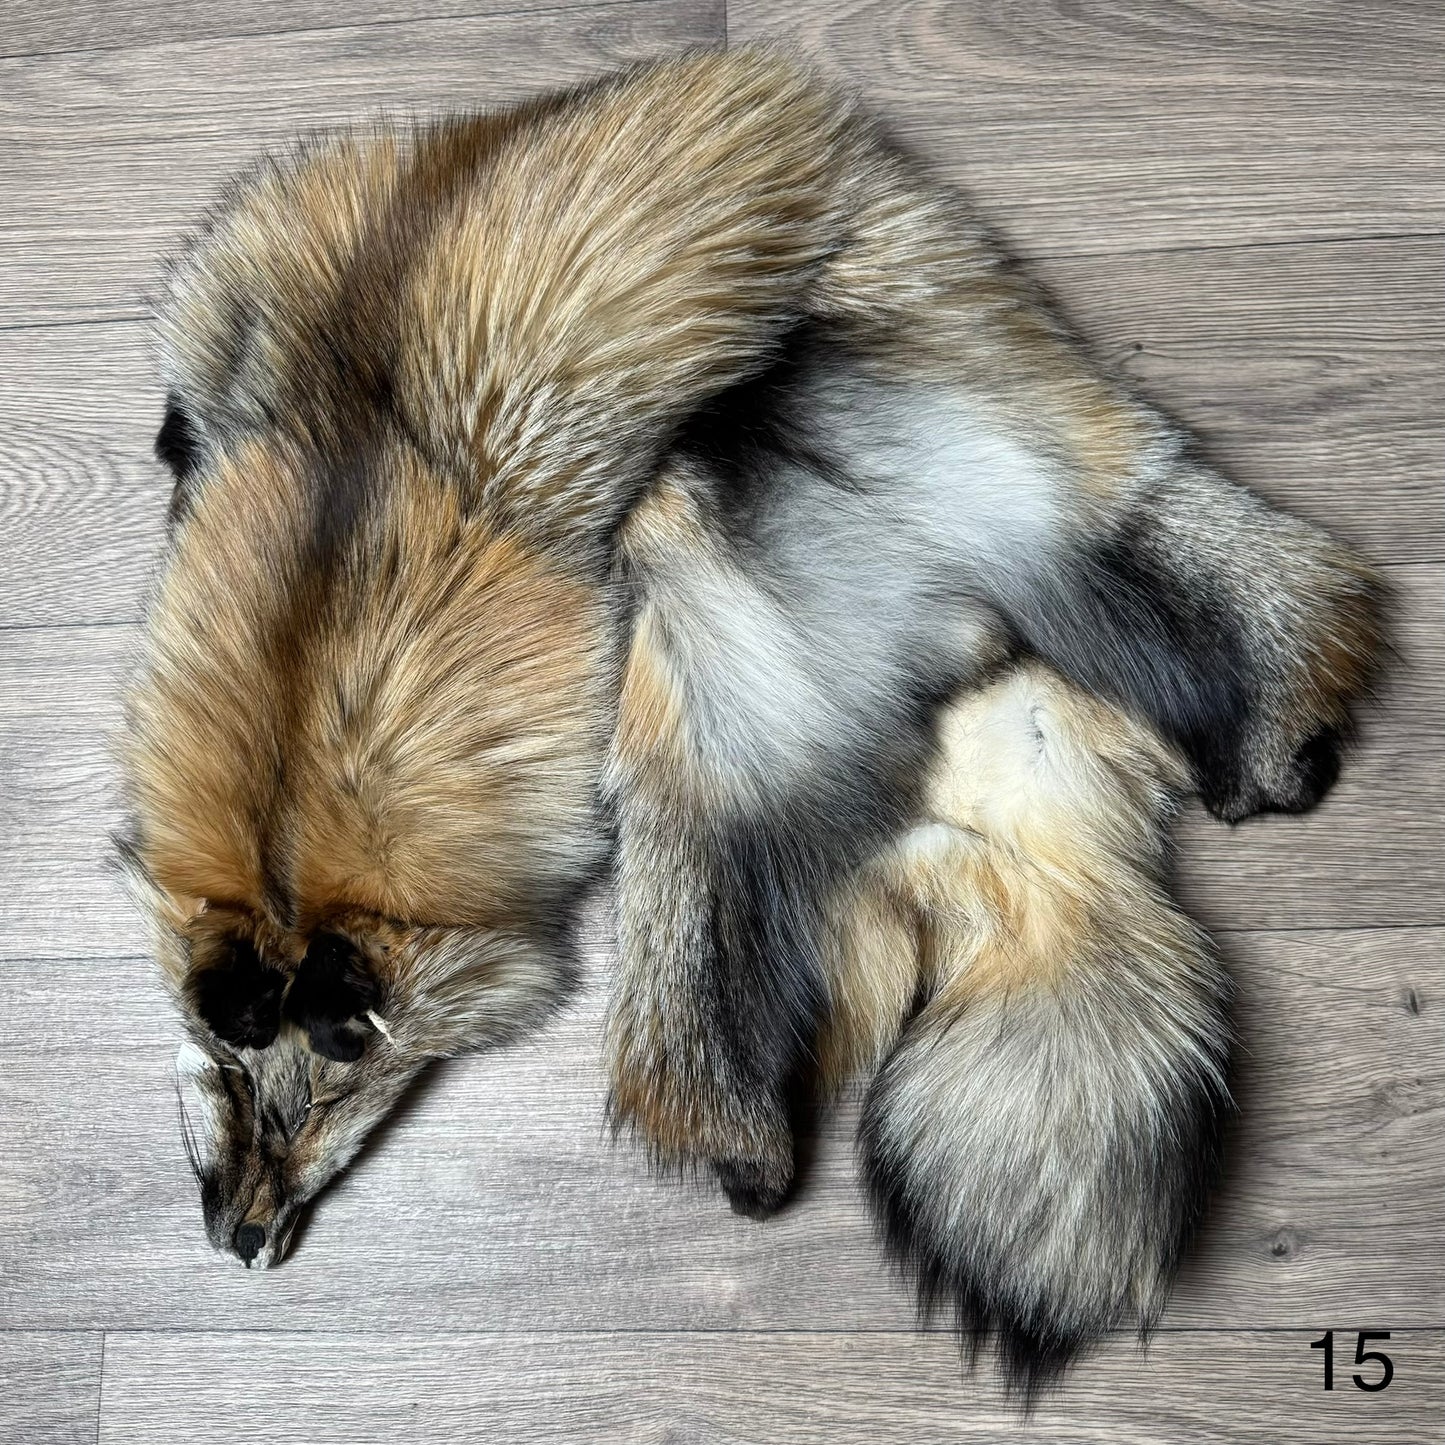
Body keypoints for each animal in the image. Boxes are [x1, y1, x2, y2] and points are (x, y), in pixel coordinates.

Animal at [119, 49, 1380, 1392]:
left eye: (326, 1097)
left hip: (729, 701)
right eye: (223, 1075)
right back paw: (1277, 752)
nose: (241, 1239)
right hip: (983, 529)